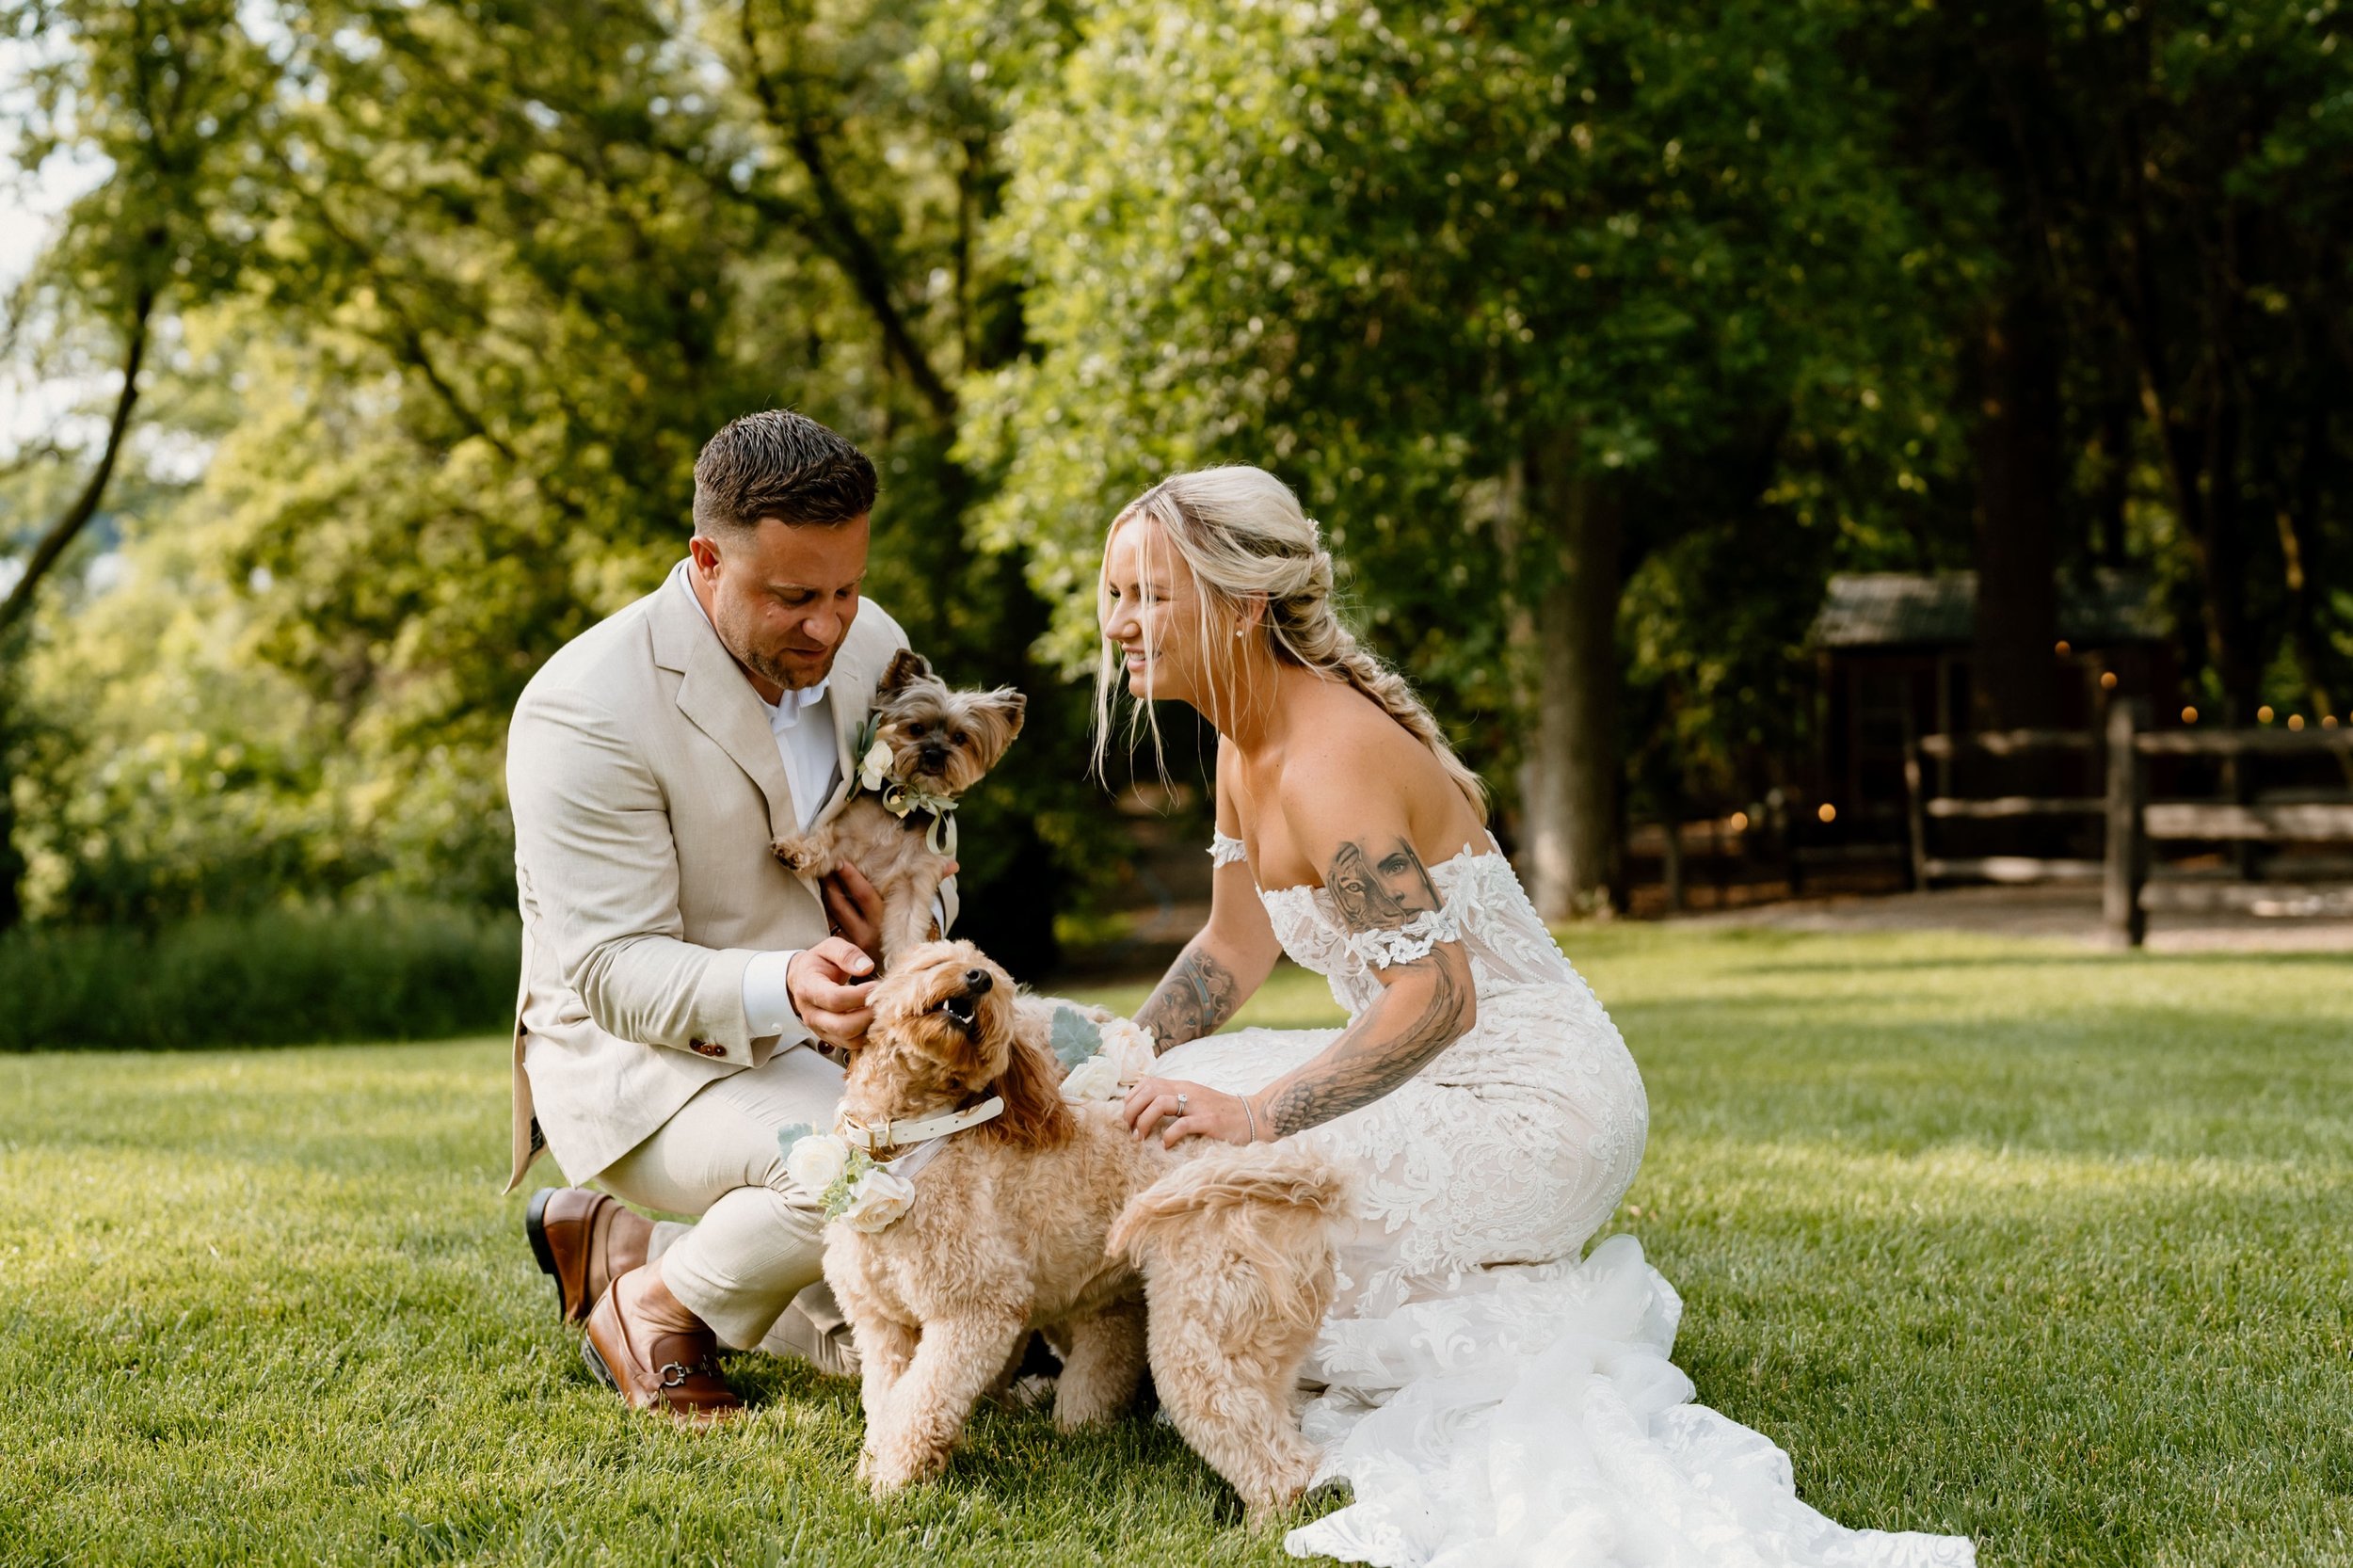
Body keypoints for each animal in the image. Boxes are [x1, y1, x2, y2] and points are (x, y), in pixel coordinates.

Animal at [776, 645, 1026, 965]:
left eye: (960, 738)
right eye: (916, 729)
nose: (934, 753)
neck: (912, 802)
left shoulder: (914, 882)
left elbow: (906, 929)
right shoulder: (846, 839)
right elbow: (821, 843)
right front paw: (794, 851)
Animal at [824, 932, 1346, 1506]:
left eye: (997, 984)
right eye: (936, 962)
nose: (977, 979)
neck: (902, 1149)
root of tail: (1294, 1172)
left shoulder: (977, 1311)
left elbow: (920, 1403)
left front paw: (888, 1488)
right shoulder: (881, 1326)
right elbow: (886, 1402)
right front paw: (872, 1469)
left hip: (1202, 1332)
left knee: (1282, 1466)